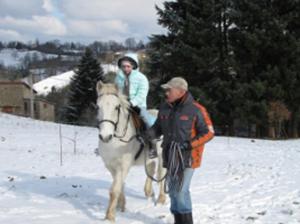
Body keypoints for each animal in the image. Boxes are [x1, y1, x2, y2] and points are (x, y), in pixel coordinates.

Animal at [96, 81, 166, 221]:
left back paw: (161, 199)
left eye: (116, 107)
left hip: (163, 156)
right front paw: (121, 205)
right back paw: (148, 192)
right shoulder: (111, 166)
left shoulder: (123, 166)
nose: (105, 136)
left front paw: (109, 216)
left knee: (161, 175)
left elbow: (114, 190)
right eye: (98, 107)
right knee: (151, 168)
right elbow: (120, 186)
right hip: (149, 158)